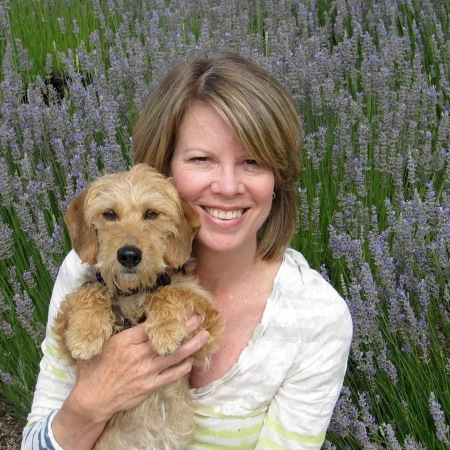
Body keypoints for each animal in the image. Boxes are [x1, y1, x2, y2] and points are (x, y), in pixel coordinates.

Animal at [53, 164, 222, 450]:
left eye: (151, 213)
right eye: (109, 214)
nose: (129, 255)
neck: (133, 292)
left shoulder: (205, 322)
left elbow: (167, 289)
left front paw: (165, 329)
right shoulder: (62, 323)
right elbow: (93, 288)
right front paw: (85, 333)